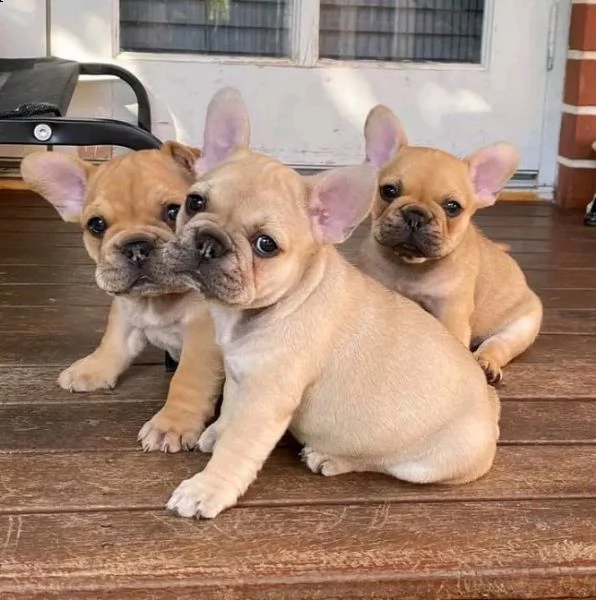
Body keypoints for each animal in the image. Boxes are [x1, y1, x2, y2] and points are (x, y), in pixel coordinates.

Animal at [20, 145, 224, 452]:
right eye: (96, 225)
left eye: (174, 210)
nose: (136, 247)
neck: (157, 300)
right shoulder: (126, 312)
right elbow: (112, 344)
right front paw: (92, 369)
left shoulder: (204, 336)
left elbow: (189, 379)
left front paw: (171, 424)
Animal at [157, 88, 498, 520]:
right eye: (194, 202)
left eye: (265, 245)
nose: (208, 243)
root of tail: (491, 412)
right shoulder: (241, 376)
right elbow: (230, 410)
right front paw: (217, 431)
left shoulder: (266, 397)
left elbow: (237, 447)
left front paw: (206, 488)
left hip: (425, 463)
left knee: (381, 463)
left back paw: (329, 457)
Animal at [356, 105, 544, 382]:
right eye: (388, 191)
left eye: (453, 207)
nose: (415, 215)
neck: (410, 267)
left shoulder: (451, 311)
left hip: (523, 324)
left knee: (499, 344)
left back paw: (487, 363)